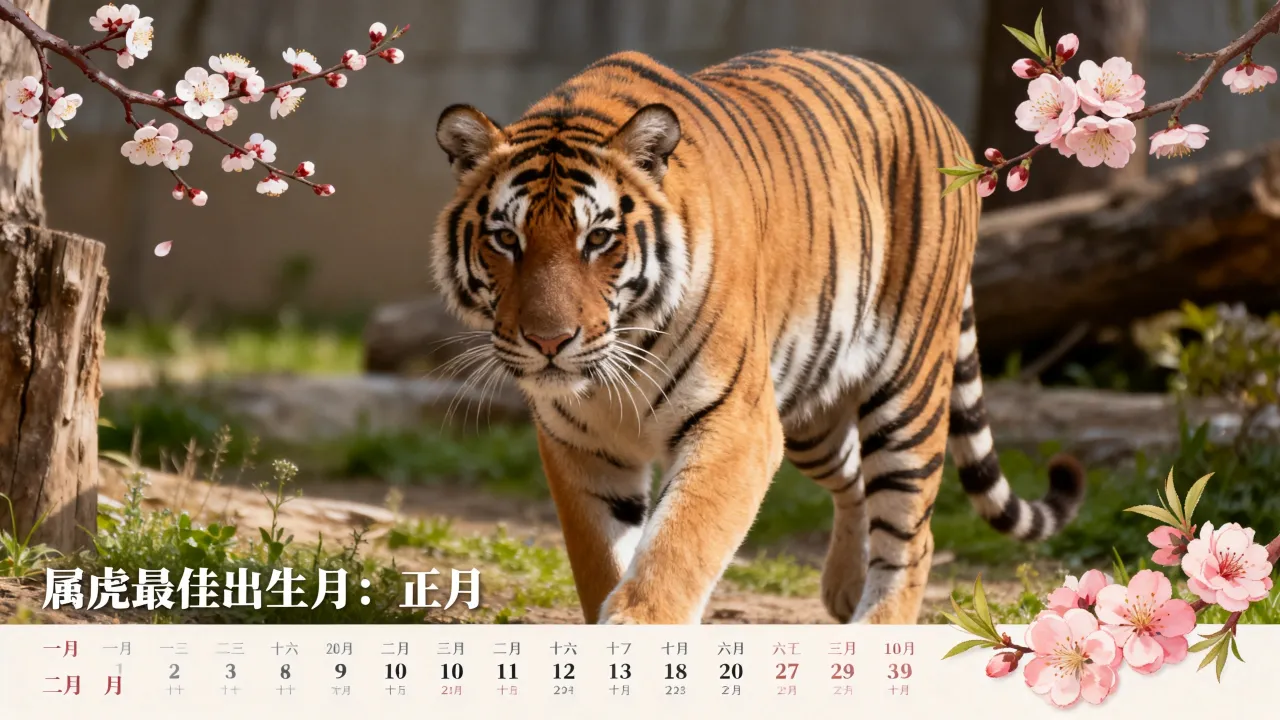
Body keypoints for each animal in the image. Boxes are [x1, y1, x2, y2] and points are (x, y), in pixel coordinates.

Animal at [430, 48, 1086, 625]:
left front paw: (641, 626)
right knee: (855, 480)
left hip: (908, 391)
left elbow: (678, 545)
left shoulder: (736, 425)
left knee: (911, 537)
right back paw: (844, 586)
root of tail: (936, 111)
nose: (549, 341)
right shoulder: (580, 446)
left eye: (597, 238)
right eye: (506, 239)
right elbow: (601, 562)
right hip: (811, 412)